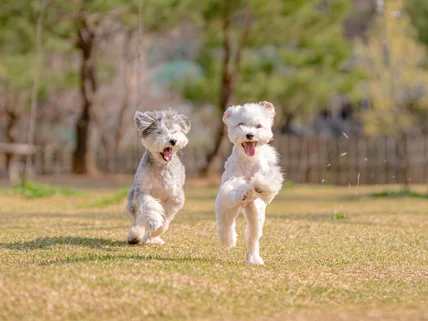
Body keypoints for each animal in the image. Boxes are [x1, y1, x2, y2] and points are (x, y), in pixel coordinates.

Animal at [124, 109, 190, 244]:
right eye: (159, 132)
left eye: (174, 131)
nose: (173, 141)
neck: (161, 166)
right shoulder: (142, 191)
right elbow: (149, 205)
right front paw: (154, 222)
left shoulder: (175, 197)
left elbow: (166, 217)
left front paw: (157, 231)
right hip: (133, 200)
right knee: (139, 218)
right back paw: (135, 235)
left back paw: (152, 238)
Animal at [216, 101, 282, 264]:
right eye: (240, 124)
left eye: (258, 126)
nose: (249, 135)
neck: (247, 160)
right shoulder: (228, 186)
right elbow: (234, 187)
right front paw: (244, 190)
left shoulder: (266, 177)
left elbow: (267, 183)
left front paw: (259, 186)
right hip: (225, 207)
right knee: (226, 225)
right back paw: (228, 240)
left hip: (255, 213)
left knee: (252, 238)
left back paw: (253, 258)